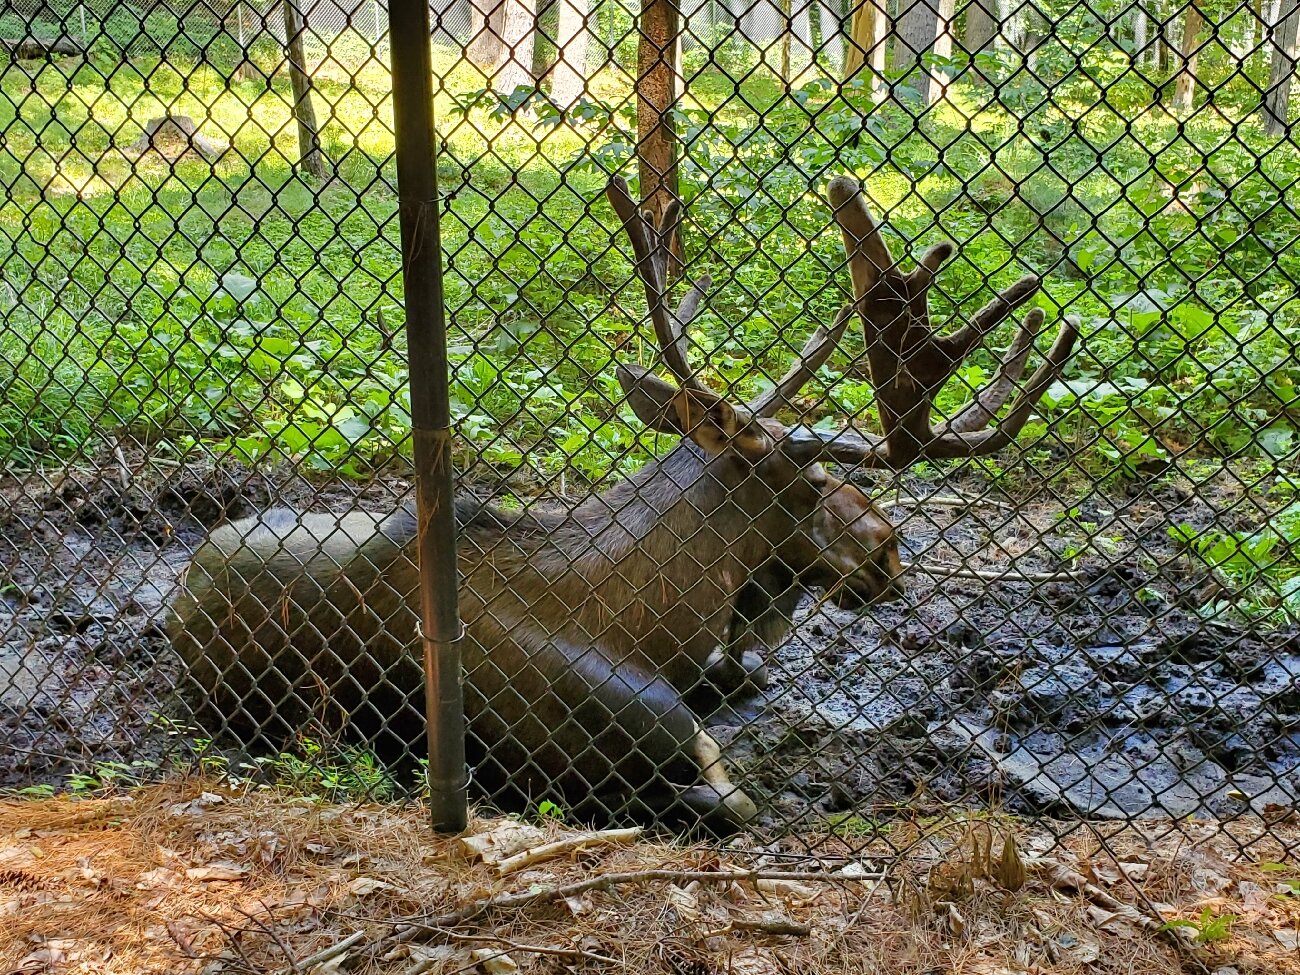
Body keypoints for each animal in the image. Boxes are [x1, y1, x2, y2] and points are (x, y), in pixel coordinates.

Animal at [167, 174, 1071, 832]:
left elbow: (740, 682)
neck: (660, 620)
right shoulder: (607, 742)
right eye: (813, 479)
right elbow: (731, 795)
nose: (891, 552)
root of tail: (182, 587)